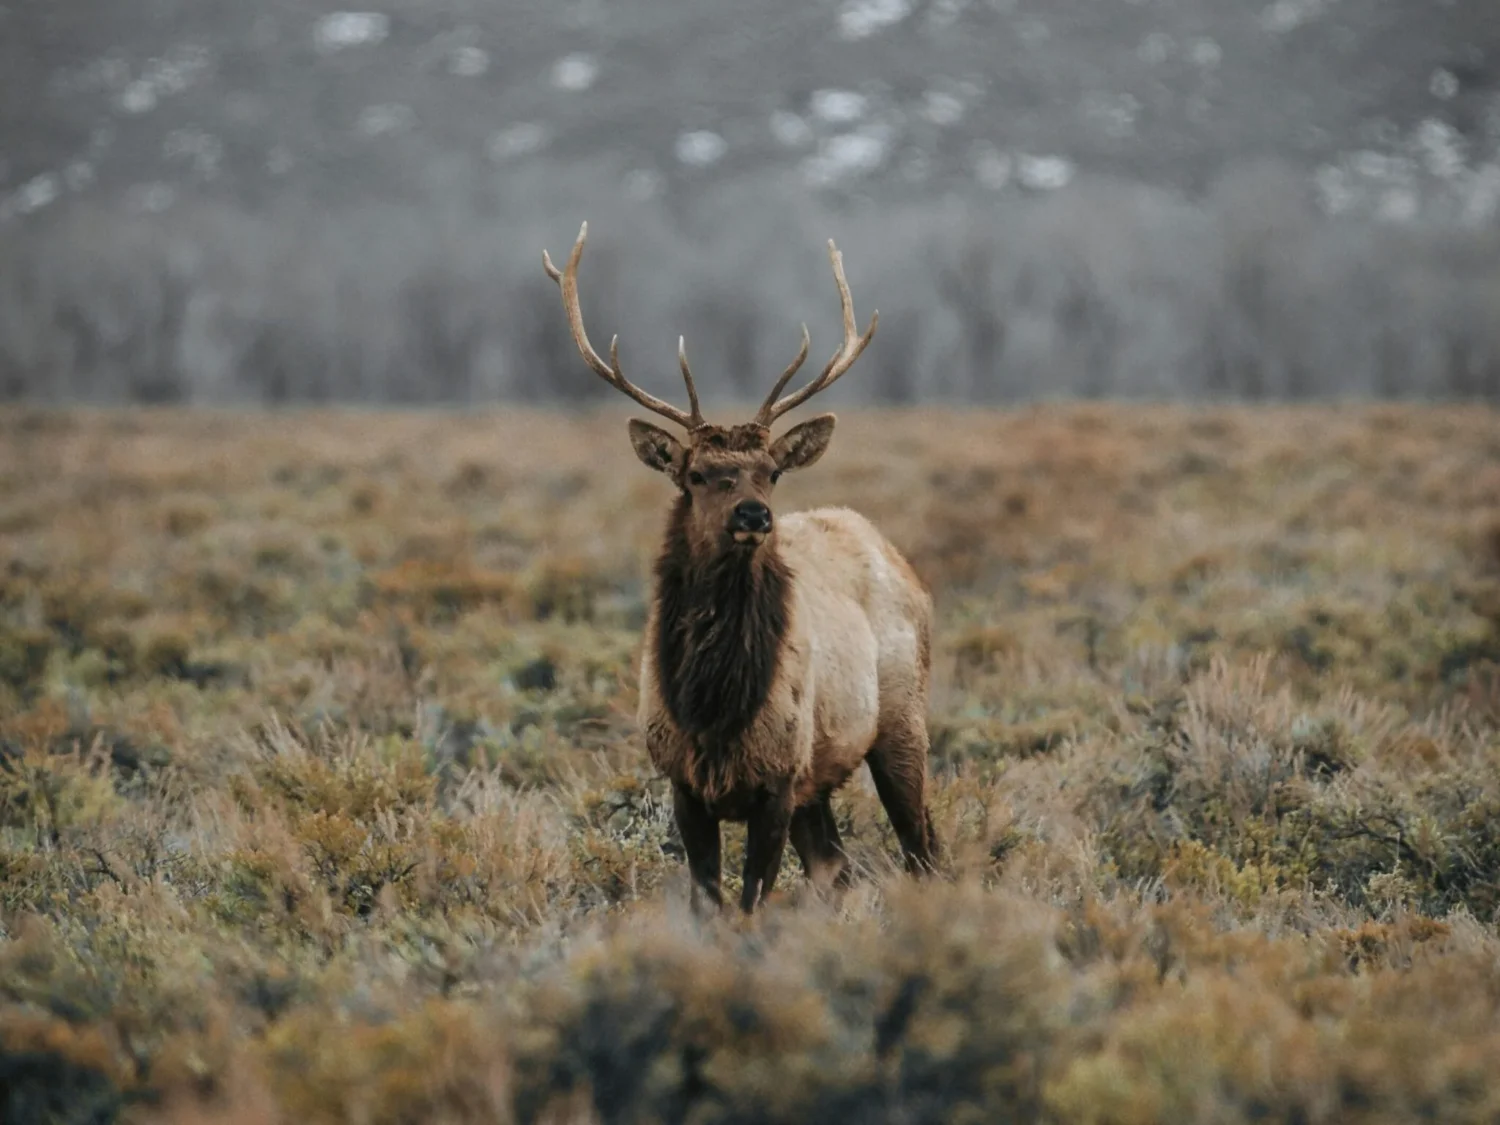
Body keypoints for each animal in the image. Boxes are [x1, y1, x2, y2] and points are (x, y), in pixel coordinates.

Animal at [542, 222, 940, 915]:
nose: (755, 515)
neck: (714, 709)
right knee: (837, 867)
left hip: (901, 719)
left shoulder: (778, 779)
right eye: (698, 474)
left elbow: (751, 901)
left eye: (772, 471)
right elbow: (710, 902)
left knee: (923, 849)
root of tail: (897, 558)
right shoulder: (683, 782)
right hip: (822, 775)